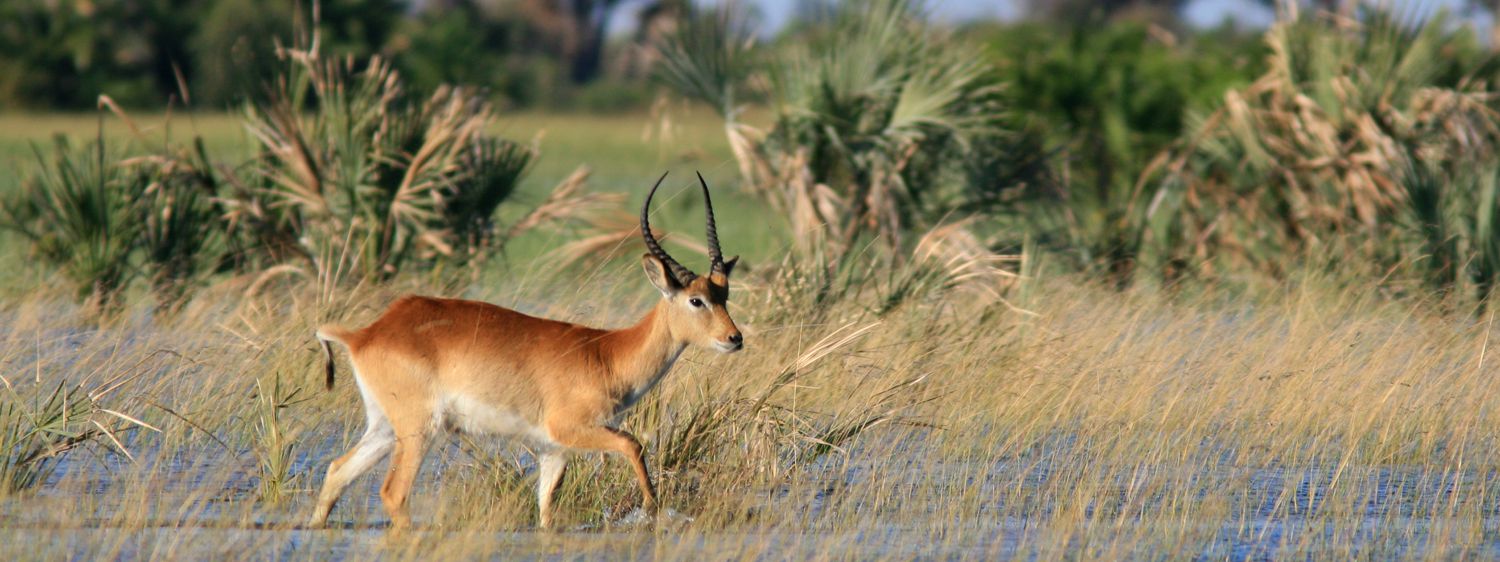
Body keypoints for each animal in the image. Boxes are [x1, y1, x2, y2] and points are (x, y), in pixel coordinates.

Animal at [307, 173, 741, 533]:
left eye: (725, 294)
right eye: (697, 299)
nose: (734, 338)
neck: (606, 354)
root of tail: (366, 333)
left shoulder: (555, 451)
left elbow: (546, 513)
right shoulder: (572, 429)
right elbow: (633, 443)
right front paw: (653, 507)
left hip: (384, 427)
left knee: (336, 473)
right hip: (419, 429)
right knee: (393, 493)